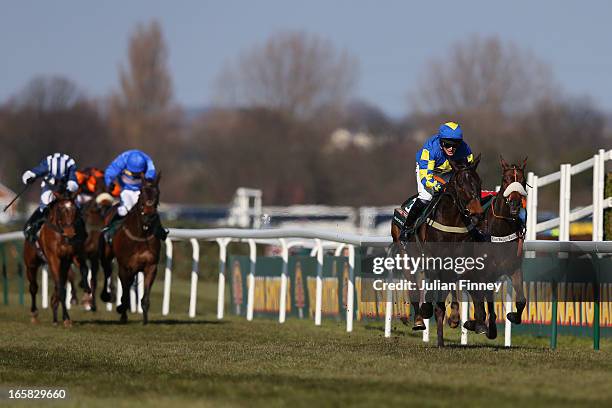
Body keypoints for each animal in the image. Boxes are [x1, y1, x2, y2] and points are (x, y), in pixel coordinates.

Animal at [23, 190, 89, 326]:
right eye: (60, 209)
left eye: (75, 209)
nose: (70, 232)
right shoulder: (54, 259)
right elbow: (61, 289)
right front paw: (66, 318)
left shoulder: (73, 256)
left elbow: (84, 270)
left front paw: (86, 294)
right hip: (30, 264)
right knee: (33, 287)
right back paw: (34, 314)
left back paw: (54, 315)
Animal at [100, 175, 163, 326]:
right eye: (142, 193)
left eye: (157, 194)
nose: (149, 216)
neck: (141, 235)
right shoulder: (124, 266)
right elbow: (125, 293)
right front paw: (122, 312)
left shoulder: (151, 266)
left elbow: (144, 297)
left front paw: (145, 320)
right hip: (107, 255)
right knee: (107, 270)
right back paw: (106, 296)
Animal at [390, 155, 486, 346]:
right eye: (460, 184)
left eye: (478, 182)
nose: (477, 214)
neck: (451, 221)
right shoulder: (433, 260)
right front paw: (429, 310)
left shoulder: (460, 261)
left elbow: (459, 286)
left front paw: (461, 319)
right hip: (406, 256)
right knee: (414, 287)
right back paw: (420, 320)